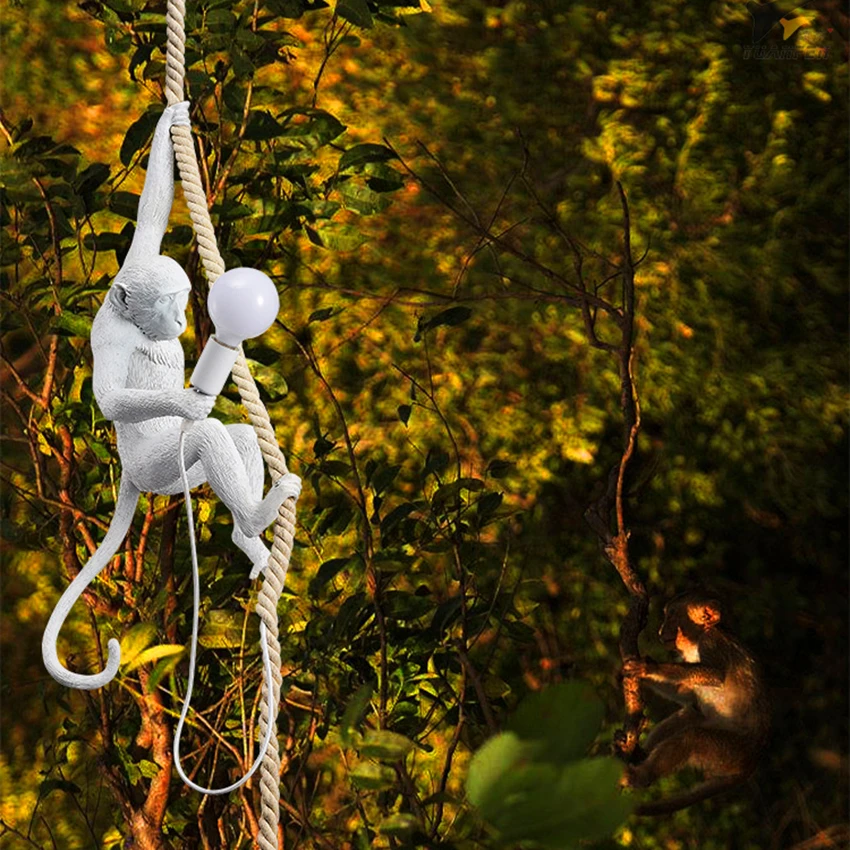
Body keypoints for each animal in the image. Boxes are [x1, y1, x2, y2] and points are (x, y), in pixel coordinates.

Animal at [42, 101, 301, 691]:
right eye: (167, 303)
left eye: (182, 301)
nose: (184, 320)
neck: (127, 316)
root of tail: (131, 475)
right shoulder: (109, 337)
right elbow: (110, 399)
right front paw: (189, 401)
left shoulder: (131, 259)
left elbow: (152, 219)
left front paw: (172, 121)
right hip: (160, 466)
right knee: (204, 435)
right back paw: (256, 517)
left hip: (176, 476)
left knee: (236, 437)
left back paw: (248, 535)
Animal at [621, 592, 770, 816]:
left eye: (672, 616)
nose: (660, 630)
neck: (696, 640)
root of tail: (750, 765)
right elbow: (688, 695)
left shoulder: (712, 642)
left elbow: (715, 674)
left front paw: (649, 667)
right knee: (691, 714)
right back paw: (639, 755)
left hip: (731, 752)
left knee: (694, 736)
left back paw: (641, 776)